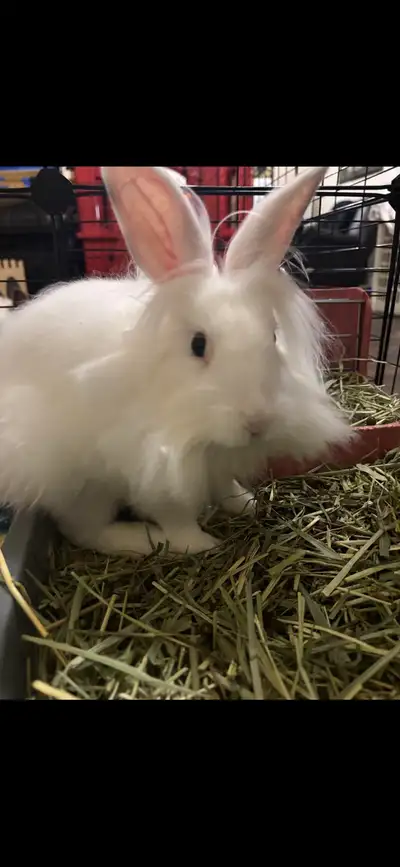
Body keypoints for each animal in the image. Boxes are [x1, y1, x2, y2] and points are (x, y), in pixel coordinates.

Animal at [0, 166, 353, 557]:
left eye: (273, 337)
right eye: (198, 345)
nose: (258, 422)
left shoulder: (217, 465)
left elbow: (225, 485)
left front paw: (246, 503)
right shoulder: (156, 471)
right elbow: (176, 517)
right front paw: (199, 544)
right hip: (82, 484)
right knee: (85, 530)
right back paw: (142, 539)